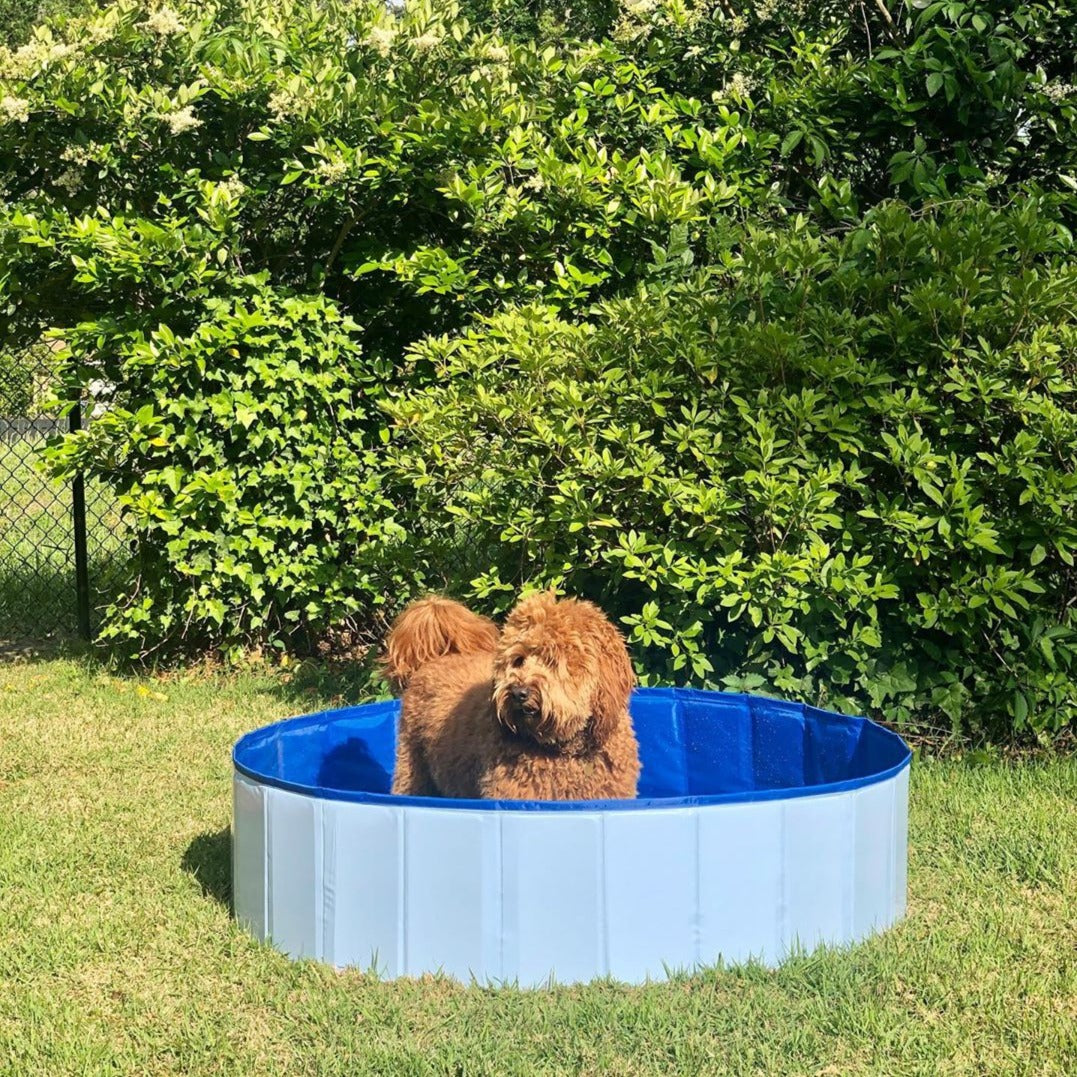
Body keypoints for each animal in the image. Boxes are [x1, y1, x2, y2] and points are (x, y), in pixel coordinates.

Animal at [383, 590, 637, 801]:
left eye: (552, 660)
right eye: (518, 660)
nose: (518, 692)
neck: (565, 751)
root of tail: (436, 658)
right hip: (412, 766)